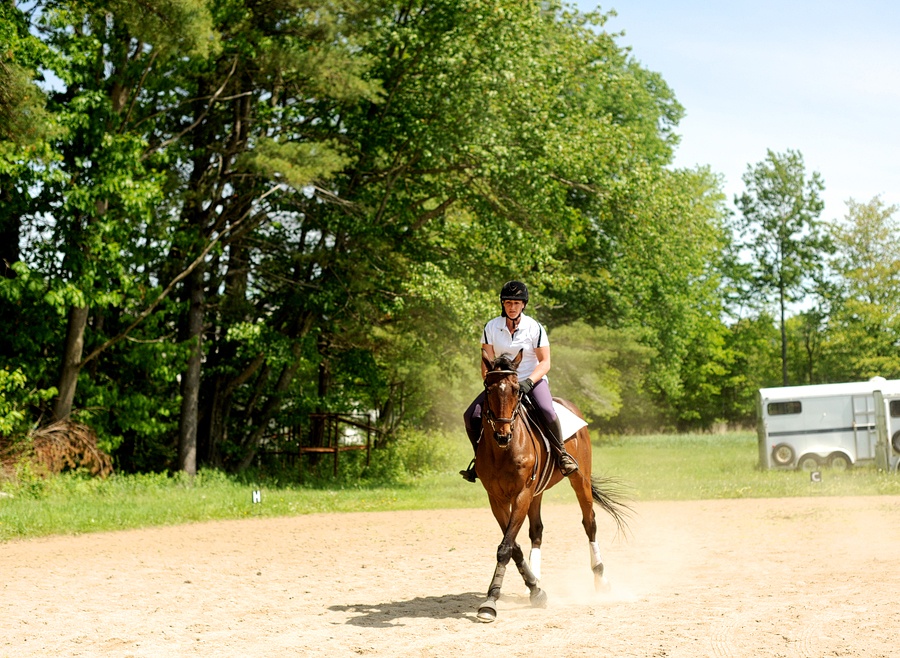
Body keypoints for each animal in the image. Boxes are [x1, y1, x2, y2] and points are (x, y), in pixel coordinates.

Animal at [474, 348, 628, 620]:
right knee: (537, 531)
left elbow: (506, 547)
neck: (503, 451)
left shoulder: (521, 494)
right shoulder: (497, 499)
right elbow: (513, 546)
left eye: (516, 389)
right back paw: (535, 580)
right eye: (488, 389)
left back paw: (600, 579)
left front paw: (491, 601)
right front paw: (535, 589)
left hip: (579, 480)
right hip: (536, 493)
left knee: (589, 523)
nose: (503, 435)